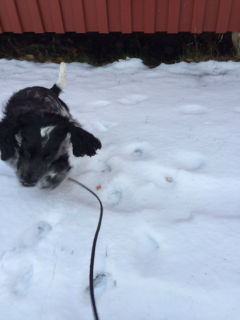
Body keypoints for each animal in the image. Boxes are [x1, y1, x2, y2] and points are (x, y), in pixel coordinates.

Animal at [0, 61, 101, 189]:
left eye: (48, 156)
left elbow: (61, 166)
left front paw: (52, 180)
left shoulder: (62, 149)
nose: (28, 181)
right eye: (27, 151)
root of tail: (50, 90)